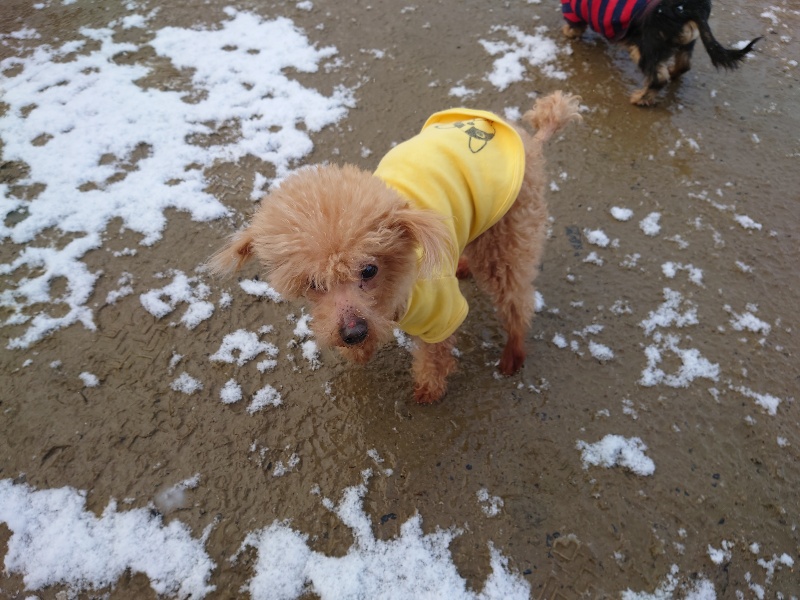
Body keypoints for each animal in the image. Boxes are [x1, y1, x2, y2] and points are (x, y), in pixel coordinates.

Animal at [209, 92, 581, 404]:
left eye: (369, 269)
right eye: (312, 284)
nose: (353, 333)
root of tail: (530, 142)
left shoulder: (442, 311)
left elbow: (434, 355)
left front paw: (429, 390)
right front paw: (359, 351)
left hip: (510, 235)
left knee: (517, 299)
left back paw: (513, 354)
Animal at [561, 0, 761, 105]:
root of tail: (691, 7)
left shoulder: (573, 10)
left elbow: (575, 27)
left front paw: (568, 32)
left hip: (647, 45)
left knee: (658, 78)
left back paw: (640, 98)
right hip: (686, 41)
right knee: (684, 64)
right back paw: (672, 71)